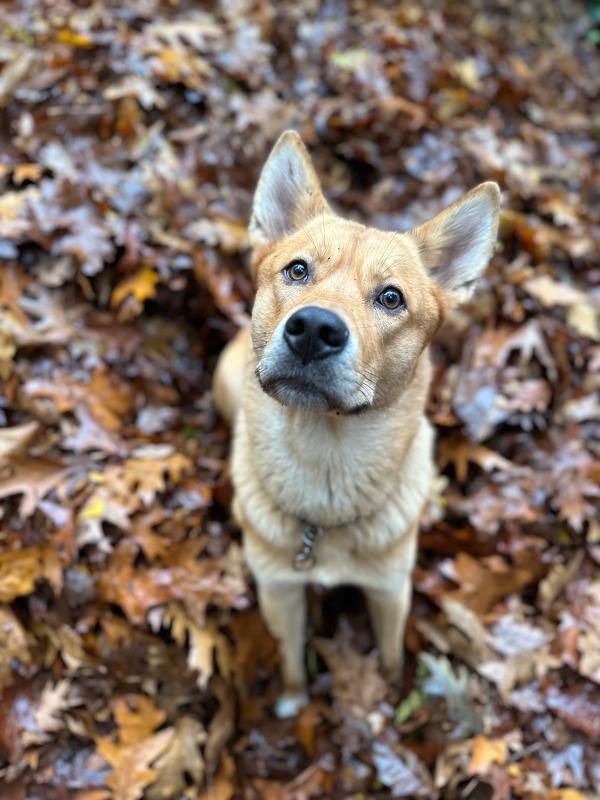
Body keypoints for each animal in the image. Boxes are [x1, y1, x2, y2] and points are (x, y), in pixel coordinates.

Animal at [213, 130, 500, 717]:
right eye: (298, 270)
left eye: (391, 298)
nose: (314, 329)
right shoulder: (279, 590)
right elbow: (291, 659)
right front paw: (294, 700)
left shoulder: (390, 590)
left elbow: (389, 653)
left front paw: (389, 700)